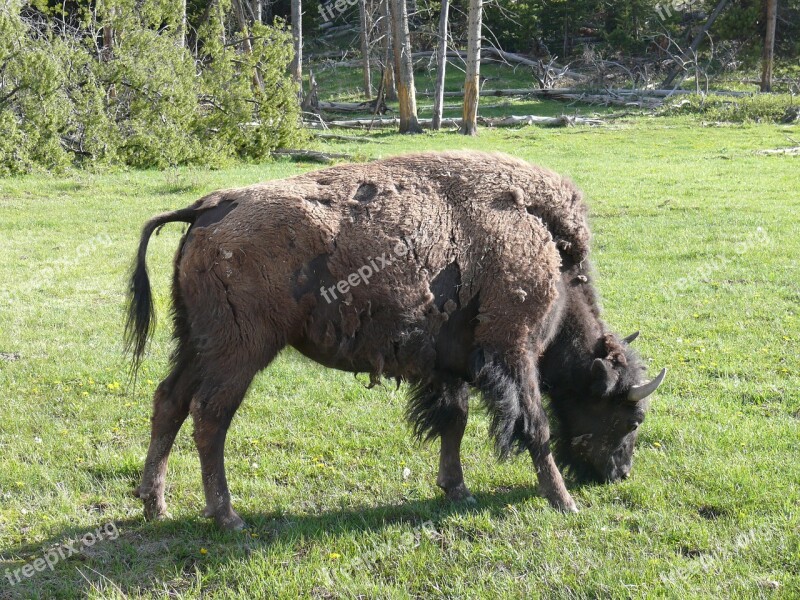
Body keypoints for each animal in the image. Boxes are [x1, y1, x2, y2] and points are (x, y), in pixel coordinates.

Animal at [125, 150, 664, 528]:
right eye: (631, 417)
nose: (619, 475)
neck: (548, 249)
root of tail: (208, 207)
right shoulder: (515, 351)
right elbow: (536, 427)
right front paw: (563, 502)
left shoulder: (451, 365)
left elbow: (454, 421)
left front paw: (457, 489)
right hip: (239, 352)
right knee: (209, 417)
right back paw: (227, 516)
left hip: (196, 344)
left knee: (169, 401)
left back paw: (156, 506)